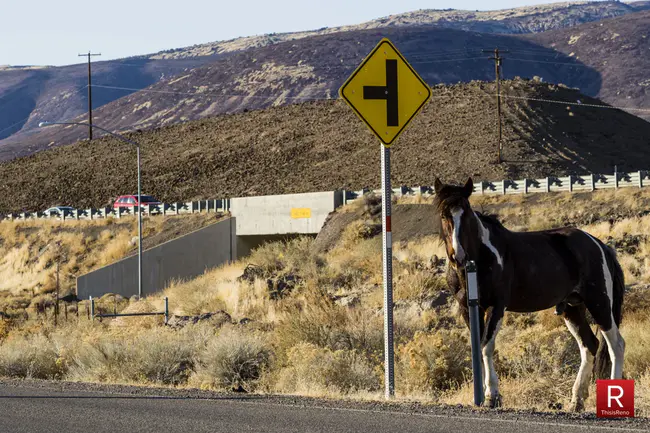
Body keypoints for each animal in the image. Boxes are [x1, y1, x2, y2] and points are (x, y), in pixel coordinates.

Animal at [430, 177, 624, 410]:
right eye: (444, 215)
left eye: (466, 213)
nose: (457, 256)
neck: (480, 258)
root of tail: (599, 245)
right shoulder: (467, 308)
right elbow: (478, 347)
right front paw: (486, 395)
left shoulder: (496, 306)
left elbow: (486, 346)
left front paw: (492, 396)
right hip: (573, 307)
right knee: (589, 345)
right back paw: (576, 400)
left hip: (599, 303)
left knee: (615, 345)